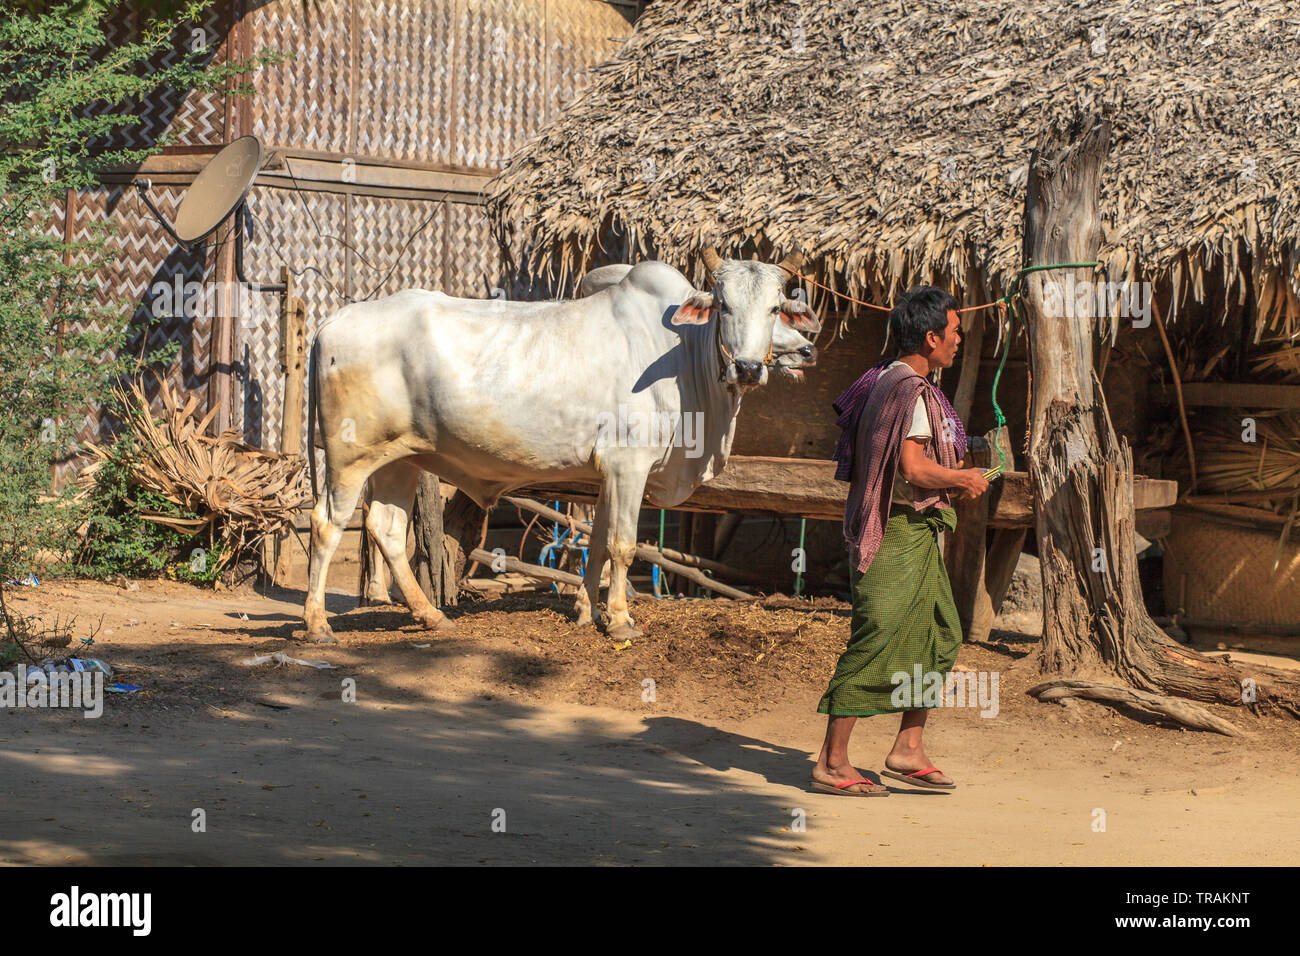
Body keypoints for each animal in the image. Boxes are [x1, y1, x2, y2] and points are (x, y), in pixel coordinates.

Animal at [299, 251, 816, 647]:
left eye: (775, 308)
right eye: (724, 305)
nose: (748, 368)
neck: (682, 356)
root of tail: (336, 318)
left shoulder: (608, 474)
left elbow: (599, 542)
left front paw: (589, 611)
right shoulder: (630, 465)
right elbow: (623, 544)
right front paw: (621, 621)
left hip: (401, 459)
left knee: (386, 528)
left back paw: (432, 616)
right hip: (348, 457)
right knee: (327, 524)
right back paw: (318, 625)